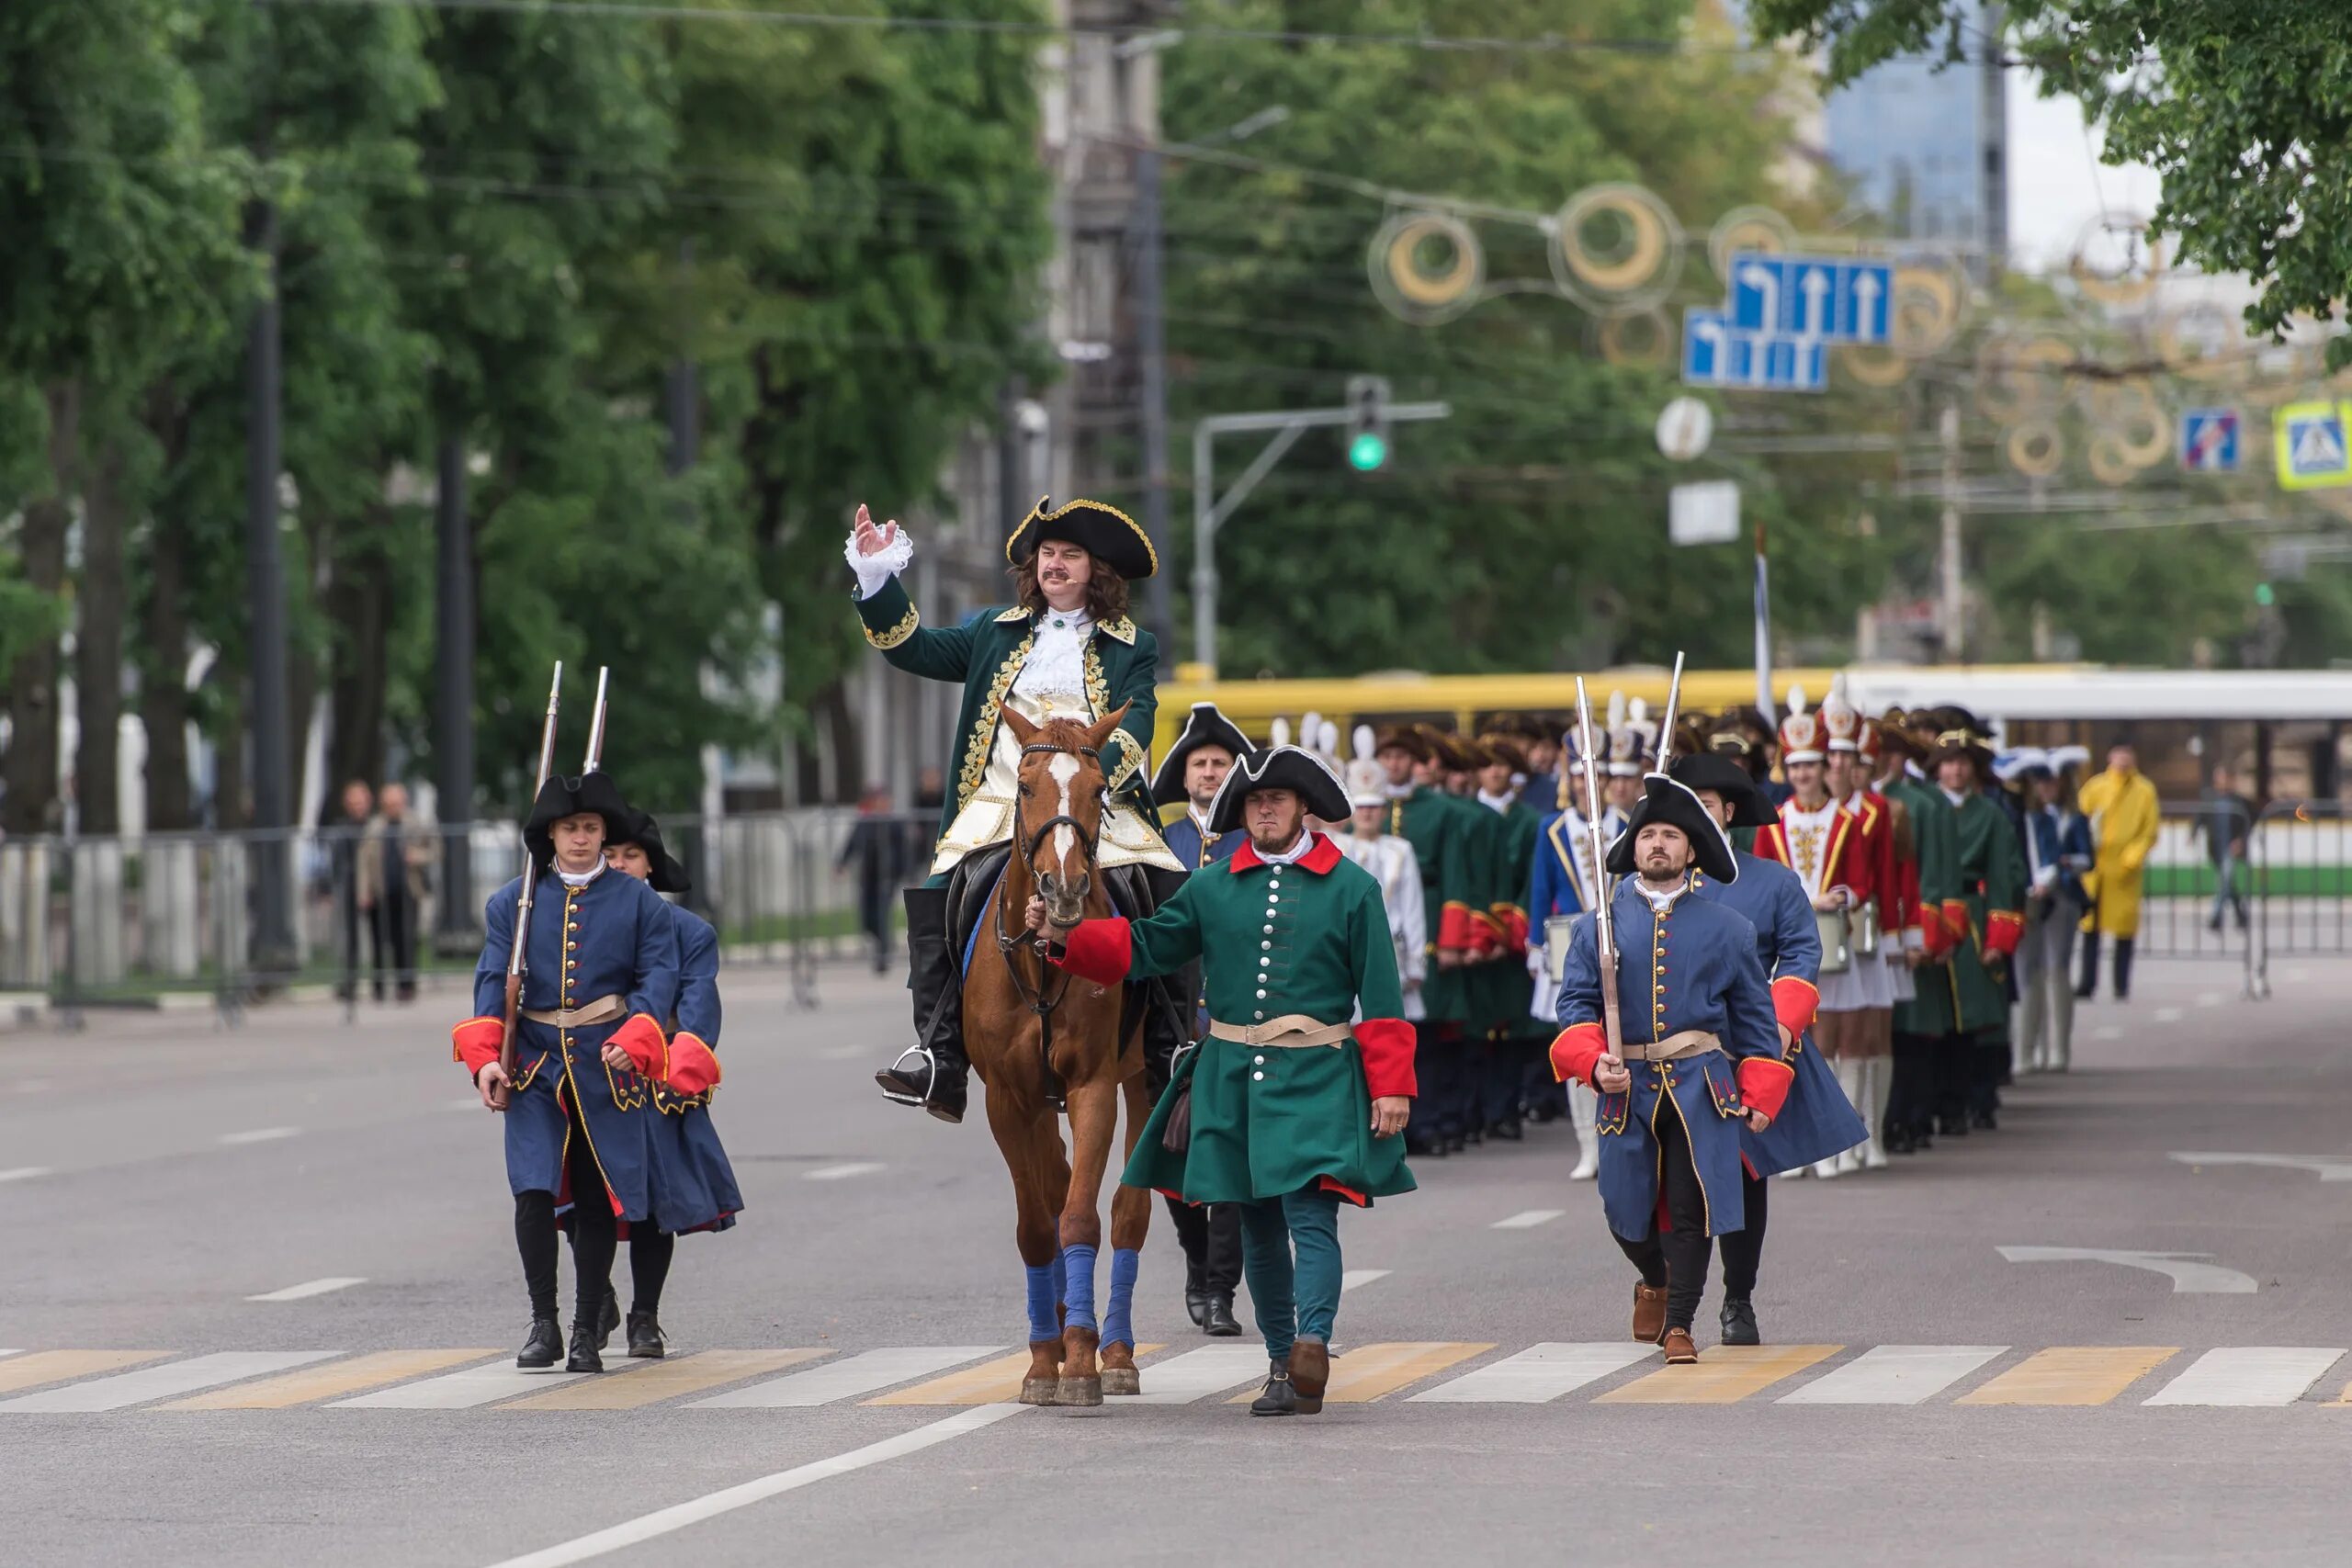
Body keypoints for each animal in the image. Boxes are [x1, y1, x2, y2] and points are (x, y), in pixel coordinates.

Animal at [964, 705, 1157, 1401]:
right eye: (1024, 787)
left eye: (1099, 791)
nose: (1064, 889)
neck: (1044, 959)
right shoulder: (1007, 1099)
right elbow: (1035, 1226)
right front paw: (1044, 1360)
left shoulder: (1094, 1086)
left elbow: (1080, 1219)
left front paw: (1079, 1361)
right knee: (1054, 1185)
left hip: (1147, 1079)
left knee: (1127, 1210)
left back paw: (1116, 1350)